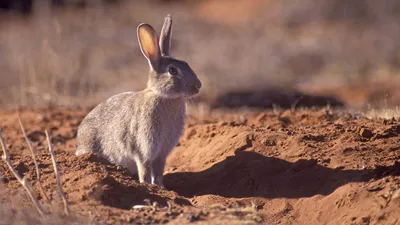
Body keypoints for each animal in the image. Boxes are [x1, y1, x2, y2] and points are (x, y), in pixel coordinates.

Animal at [75, 14, 202, 186]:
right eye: (172, 70)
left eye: (186, 64)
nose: (198, 86)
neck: (162, 96)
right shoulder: (143, 148)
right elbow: (145, 169)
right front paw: (147, 185)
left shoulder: (161, 153)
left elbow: (159, 171)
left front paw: (161, 187)